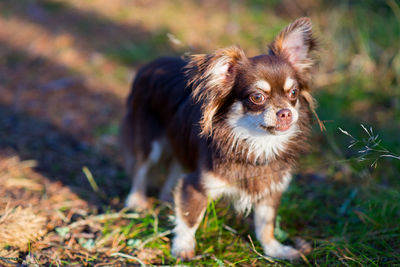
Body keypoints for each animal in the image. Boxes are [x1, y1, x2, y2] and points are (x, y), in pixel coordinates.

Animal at [121, 17, 318, 260]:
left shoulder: (269, 188)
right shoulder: (197, 184)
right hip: (150, 139)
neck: (256, 142)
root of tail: (152, 64)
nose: (286, 113)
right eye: (257, 97)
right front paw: (183, 248)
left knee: (175, 167)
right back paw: (137, 201)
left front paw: (275, 249)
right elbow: (190, 218)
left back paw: (167, 197)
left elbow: (266, 224)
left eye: (293, 93)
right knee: (141, 167)